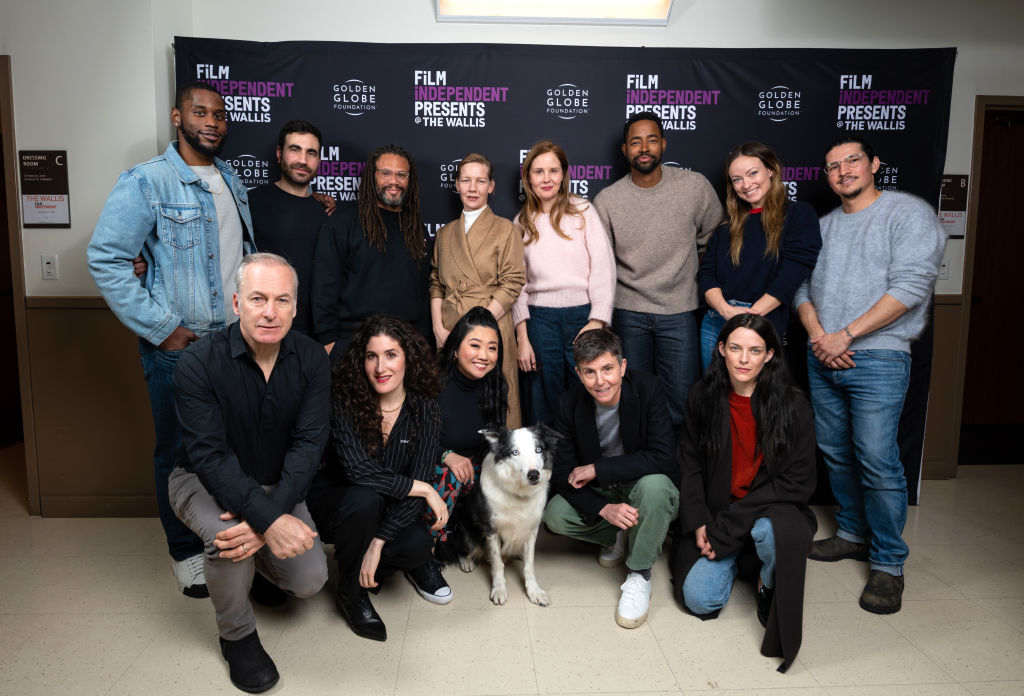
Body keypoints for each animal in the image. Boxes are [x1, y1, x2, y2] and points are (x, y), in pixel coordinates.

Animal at [436, 421, 557, 605]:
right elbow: (497, 563)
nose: (534, 475)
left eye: (538, 449)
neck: (519, 492)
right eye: (515, 452)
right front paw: (499, 590)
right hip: (466, 532)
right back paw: (467, 561)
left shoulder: (532, 530)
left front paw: (534, 591)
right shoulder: (491, 530)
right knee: (463, 549)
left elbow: (529, 564)